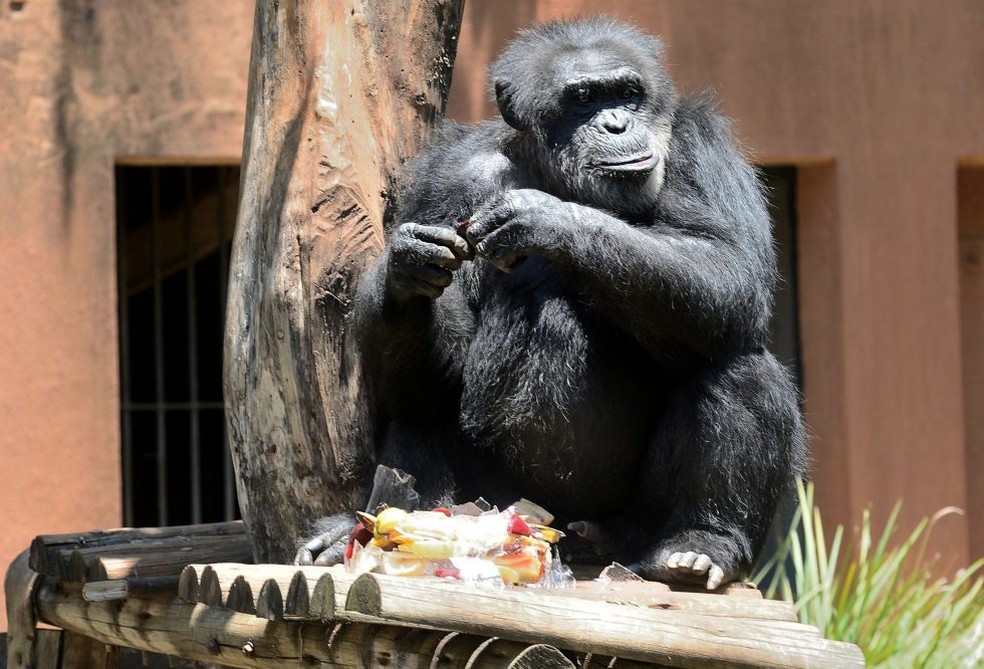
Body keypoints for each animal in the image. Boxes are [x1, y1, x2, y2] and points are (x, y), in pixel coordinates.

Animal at [300, 17, 808, 588]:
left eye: (627, 94)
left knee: (737, 363)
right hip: (494, 499)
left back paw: (701, 543)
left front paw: (546, 218)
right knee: (421, 408)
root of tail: (564, 526)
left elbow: (729, 267)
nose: (616, 124)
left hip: (630, 521)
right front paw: (406, 268)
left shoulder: (705, 148)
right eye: (583, 99)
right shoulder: (449, 180)